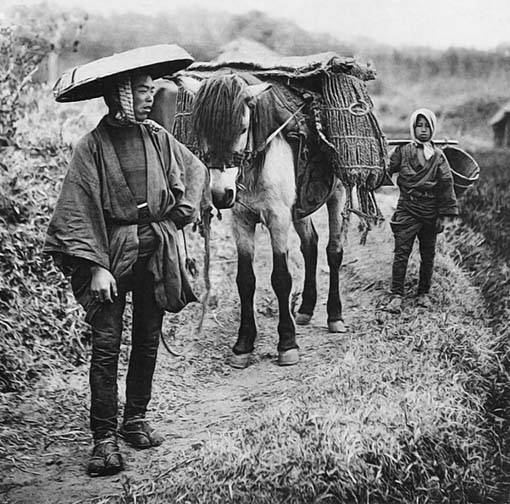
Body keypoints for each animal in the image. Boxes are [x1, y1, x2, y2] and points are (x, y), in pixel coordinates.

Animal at [152, 71, 346, 368]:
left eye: (243, 128)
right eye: (201, 130)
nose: (221, 194)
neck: (256, 164)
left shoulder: (277, 217)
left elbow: (281, 278)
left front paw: (287, 343)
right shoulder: (242, 220)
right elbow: (245, 280)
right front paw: (243, 344)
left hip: (337, 194)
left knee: (333, 251)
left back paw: (335, 315)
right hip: (299, 207)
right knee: (310, 244)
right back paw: (306, 308)